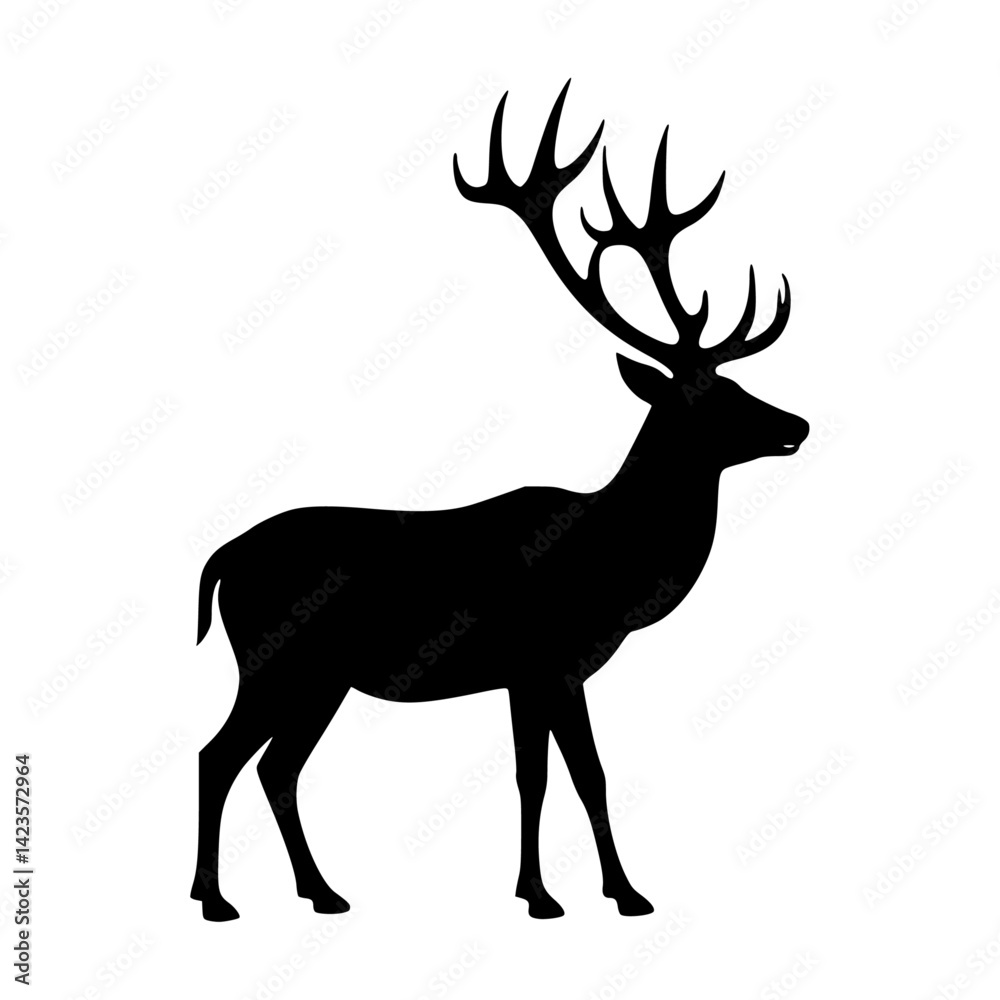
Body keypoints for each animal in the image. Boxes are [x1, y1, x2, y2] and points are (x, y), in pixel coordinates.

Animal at [190, 80, 809, 922]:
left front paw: (560, 891)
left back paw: (321, 892)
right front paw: (597, 894)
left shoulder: (536, 674)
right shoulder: (547, 659)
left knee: (274, 766)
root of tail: (222, 559)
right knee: (219, 754)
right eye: (707, 400)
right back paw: (215, 899)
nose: (797, 425)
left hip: (319, 678)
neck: (616, 569)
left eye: (740, 384)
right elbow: (570, 775)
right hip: (275, 659)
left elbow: (548, 776)